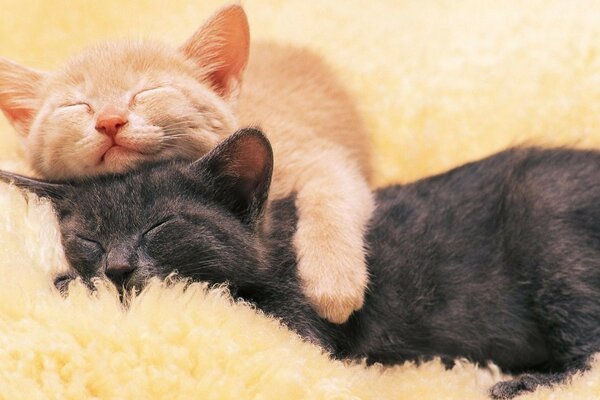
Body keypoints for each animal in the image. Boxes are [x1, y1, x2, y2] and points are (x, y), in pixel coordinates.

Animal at [0, 5, 376, 324]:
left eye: (147, 92)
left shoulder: (313, 155)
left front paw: (333, 283)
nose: (109, 120)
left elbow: (334, 191)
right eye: (76, 107)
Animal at [2, 129, 596, 400]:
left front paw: (67, 285)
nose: (118, 268)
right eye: (89, 238)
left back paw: (521, 383)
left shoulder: (300, 322)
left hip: (547, 217)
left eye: (161, 227)